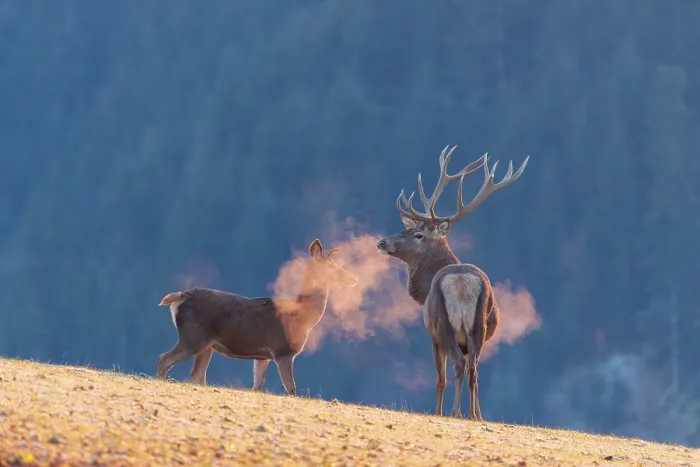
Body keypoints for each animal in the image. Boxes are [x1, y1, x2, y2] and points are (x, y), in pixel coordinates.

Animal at [156, 238, 358, 396]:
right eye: (331, 266)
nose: (353, 279)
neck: (303, 317)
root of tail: (180, 297)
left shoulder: (262, 356)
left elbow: (257, 386)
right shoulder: (282, 350)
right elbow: (291, 388)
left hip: (207, 344)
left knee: (197, 374)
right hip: (194, 335)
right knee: (165, 359)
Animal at [376, 145, 528, 421]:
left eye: (418, 234)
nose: (382, 242)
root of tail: (461, 282)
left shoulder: (432, 336)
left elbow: (440, 378)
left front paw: (438, 411)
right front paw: (477, 414)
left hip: (444, 327)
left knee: (458, 365)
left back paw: (455, 412)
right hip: (479, 329)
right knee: (473, 370)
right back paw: (473, 415)